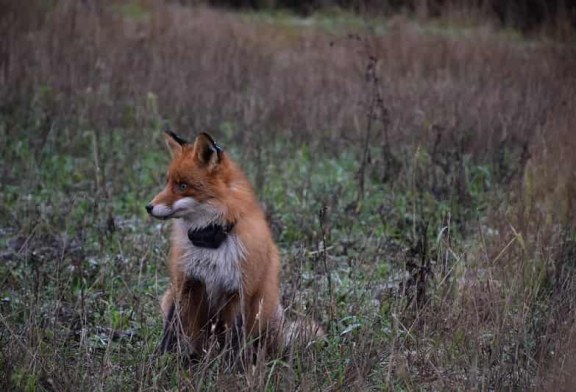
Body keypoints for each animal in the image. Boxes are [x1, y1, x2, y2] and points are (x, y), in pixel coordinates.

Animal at [145, 130, 320, 360]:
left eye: (182, 186)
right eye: (167, 183)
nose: (148, 207)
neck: (211, 242)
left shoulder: (240, 290)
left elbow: (235, 338)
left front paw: (233, 366)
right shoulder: (185, 282)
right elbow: (171, 328)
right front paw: (162, 359)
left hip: (264, 311)